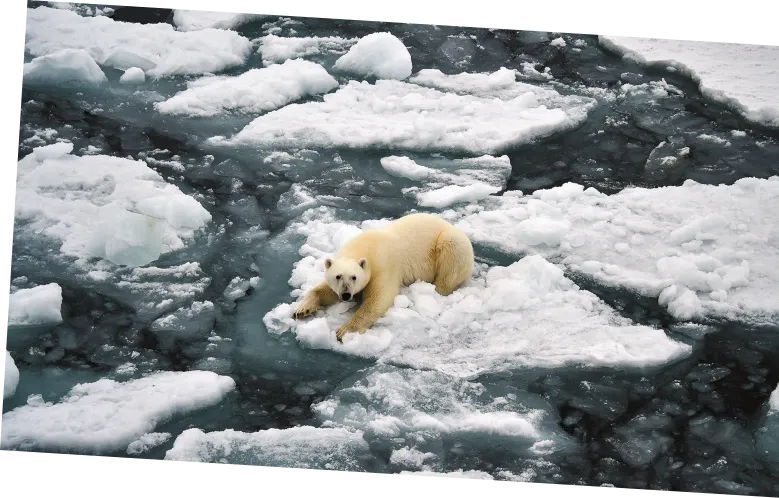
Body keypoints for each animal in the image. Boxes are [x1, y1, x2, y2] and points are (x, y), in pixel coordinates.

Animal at [293, 212, 475, 341]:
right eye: (338, 276)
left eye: (354, 277)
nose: (346, 295)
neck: (365, 246)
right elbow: (324, 290)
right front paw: (302, 310)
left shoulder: (383, 266)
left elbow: (378, 298)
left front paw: (344, 331)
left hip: (450, 243)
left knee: (449, 260)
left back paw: (437, 289)